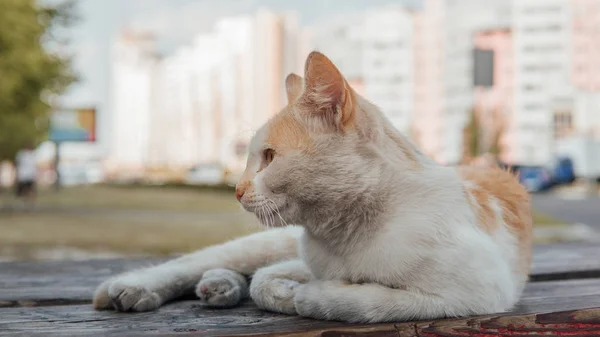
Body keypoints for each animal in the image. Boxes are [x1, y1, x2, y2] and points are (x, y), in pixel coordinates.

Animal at [95, 50, 536, 322]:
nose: (235, 189)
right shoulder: (303, 258)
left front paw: (308, 297)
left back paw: (220, 286)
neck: (345, 236)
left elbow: (370, 301)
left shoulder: (479, 291)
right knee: (194, 263)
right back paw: (134, 289)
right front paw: (289, 293)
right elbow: (267, 281)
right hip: (267, 242)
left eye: (269, 157)